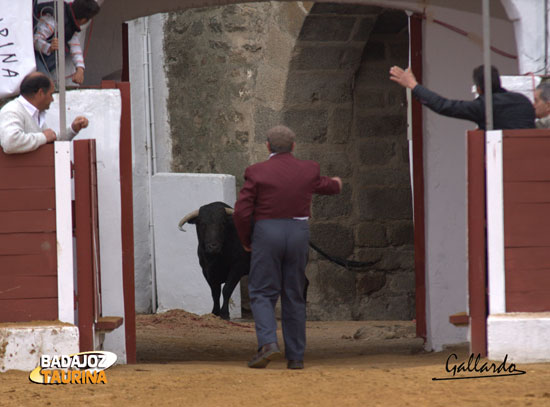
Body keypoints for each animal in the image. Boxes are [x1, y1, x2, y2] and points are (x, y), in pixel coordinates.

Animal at [179, 202, 308, 320]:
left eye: (222, 223)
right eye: (202, 224)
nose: (213, 246)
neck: (217, 257)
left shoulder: (237, 268)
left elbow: (226, 289)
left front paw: (224, 314)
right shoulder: (207, 271)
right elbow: (215, 293)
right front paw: (214, 313)